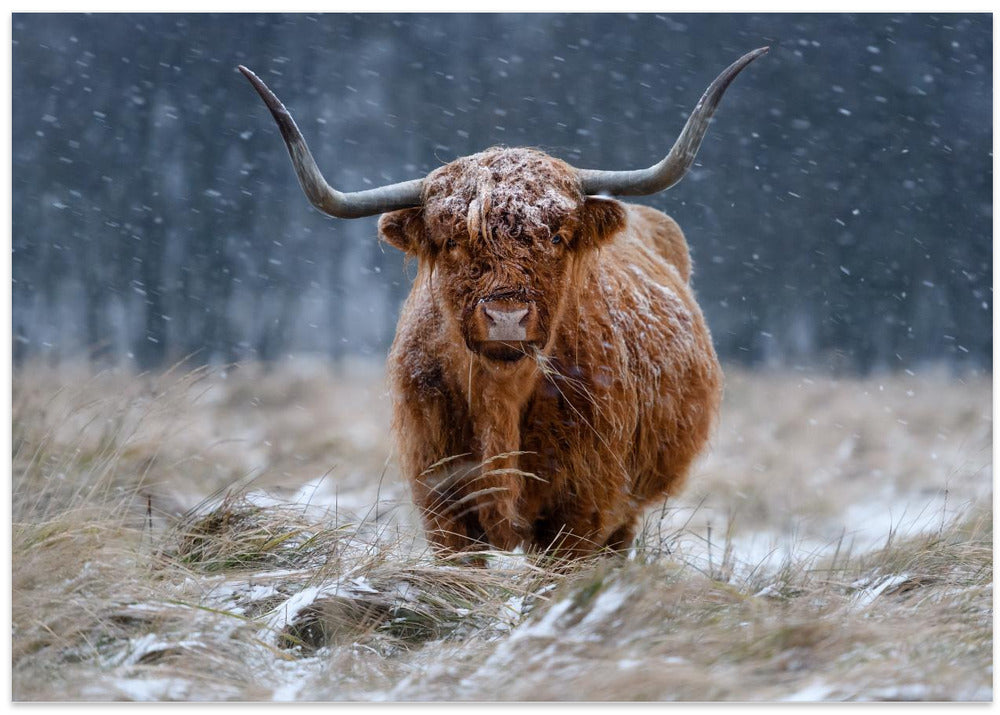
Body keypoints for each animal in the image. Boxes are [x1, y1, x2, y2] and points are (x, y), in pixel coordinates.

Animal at [239, 48, 767, 563]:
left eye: (556, 236)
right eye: (453, 241)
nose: (507, 317)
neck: (501, 401)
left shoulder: (584, 508)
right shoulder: (442, 503)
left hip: (628, 509)